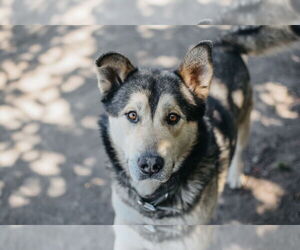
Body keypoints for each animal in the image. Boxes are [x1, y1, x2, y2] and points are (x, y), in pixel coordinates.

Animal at [95, 25, 298, 227]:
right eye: (132, 115)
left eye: (173, 117)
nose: (150, 165)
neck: (152, 200)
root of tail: (223, 44)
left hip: (244, 117)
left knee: (240, 148)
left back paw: (235, 175)